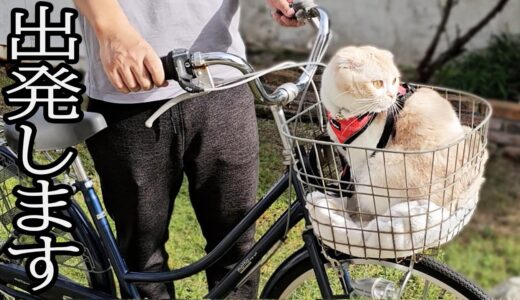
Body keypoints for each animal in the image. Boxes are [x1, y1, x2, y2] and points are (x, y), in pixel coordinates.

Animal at [320, 45, 488, 217]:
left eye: (394, 80)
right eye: (377, 83)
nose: (392, 95)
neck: (345, 117)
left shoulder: (360, 160)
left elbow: (355, 190)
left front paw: (354, 211)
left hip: (380, 169)